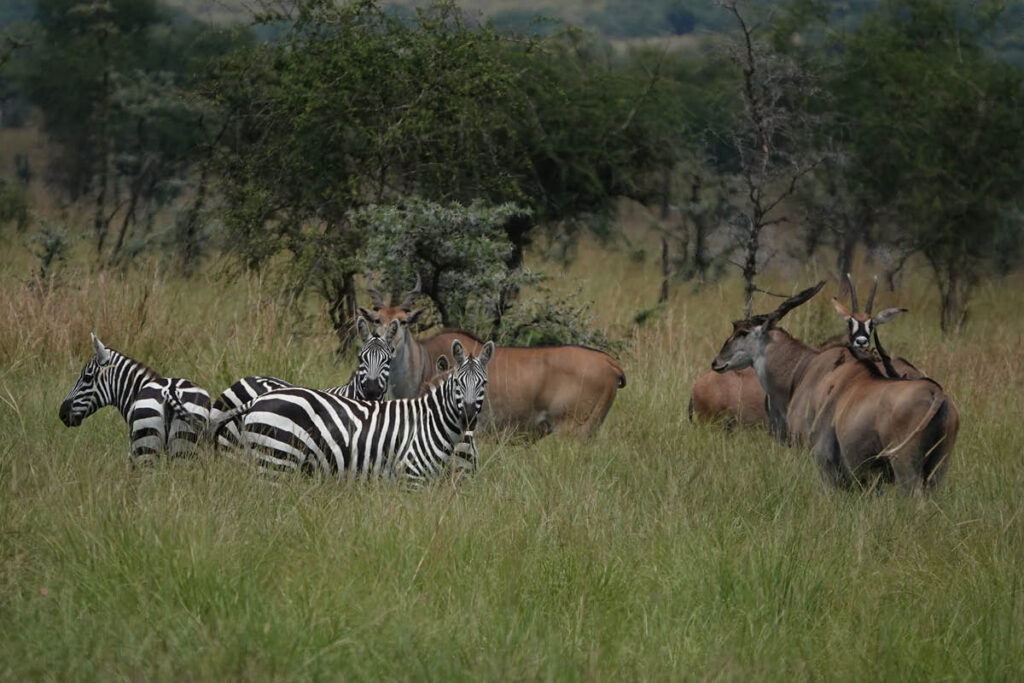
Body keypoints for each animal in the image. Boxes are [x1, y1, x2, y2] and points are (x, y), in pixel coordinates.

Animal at [59, 333, 211, 465]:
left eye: (87, 378)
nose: (62, 414)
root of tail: (170, 391)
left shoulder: (132, 453)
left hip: (146, 447)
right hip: (185, 449)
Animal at [215, 338, 493, 485]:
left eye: (484, 383)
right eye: (458, 384)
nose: (469, 416)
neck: (429, 422)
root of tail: (259, 397)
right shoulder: (411, 477)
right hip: (275, 461)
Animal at [711, 282, 959, 493]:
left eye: (742, 332)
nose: (716, 362)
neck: (803, 368)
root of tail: (936, 393)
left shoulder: (818, 458)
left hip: (905, 467)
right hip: (938, 469)